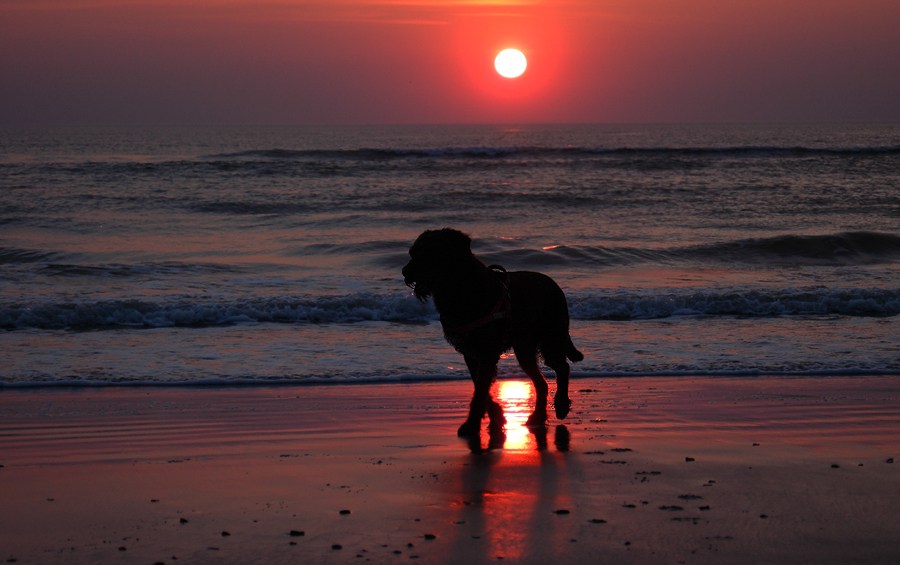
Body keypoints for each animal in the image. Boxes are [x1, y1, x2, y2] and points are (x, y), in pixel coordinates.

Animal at [400, 227, 584, 434]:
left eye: (430, 252)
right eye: (412, 253)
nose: (405, 272)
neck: (460, 287)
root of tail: (555, 286)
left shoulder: (486, 351)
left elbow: (480, 389)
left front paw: (471, 424)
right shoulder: (471, 353)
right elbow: (480, 385)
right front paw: (496, 414)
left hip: (551, 338)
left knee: (563, 367)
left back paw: (561, 404)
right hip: (524, 347)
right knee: (541, 382)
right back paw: (537, 417)